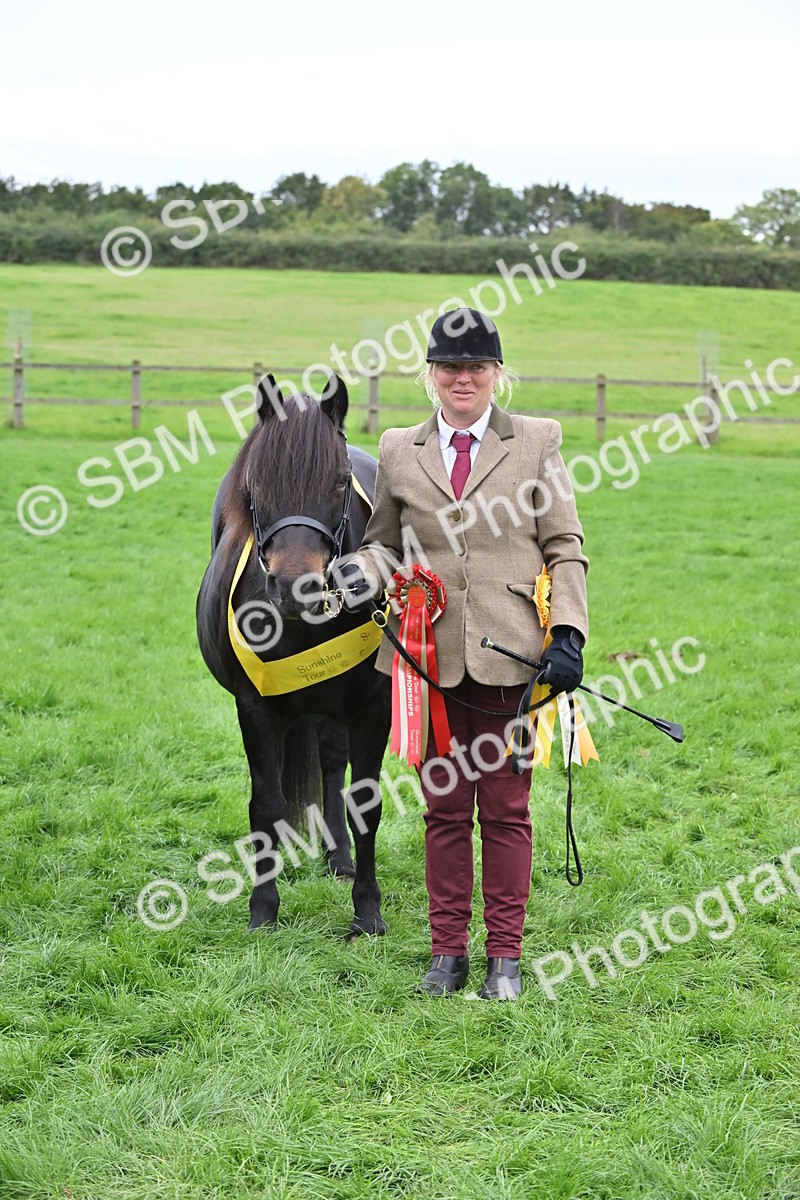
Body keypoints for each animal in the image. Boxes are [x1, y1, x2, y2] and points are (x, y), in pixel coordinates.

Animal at [196, 373, 391, 937]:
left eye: (340, 481)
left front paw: (367, 911)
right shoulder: (256, 707)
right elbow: (265, 803)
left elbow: (364, 801)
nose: (294, 586)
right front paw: (263, 908)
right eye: (257, 483)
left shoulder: (373, 709)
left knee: (331, 763)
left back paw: (339, 855)